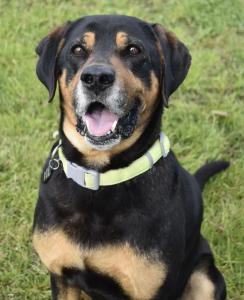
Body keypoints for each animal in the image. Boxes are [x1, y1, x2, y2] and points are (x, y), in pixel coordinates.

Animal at [32, 14, 229, 300]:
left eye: (134, 50)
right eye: (77, 50)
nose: (96, 78)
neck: (101, 177)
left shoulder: (151, 290)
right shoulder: (63, 277)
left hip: (206, 279)